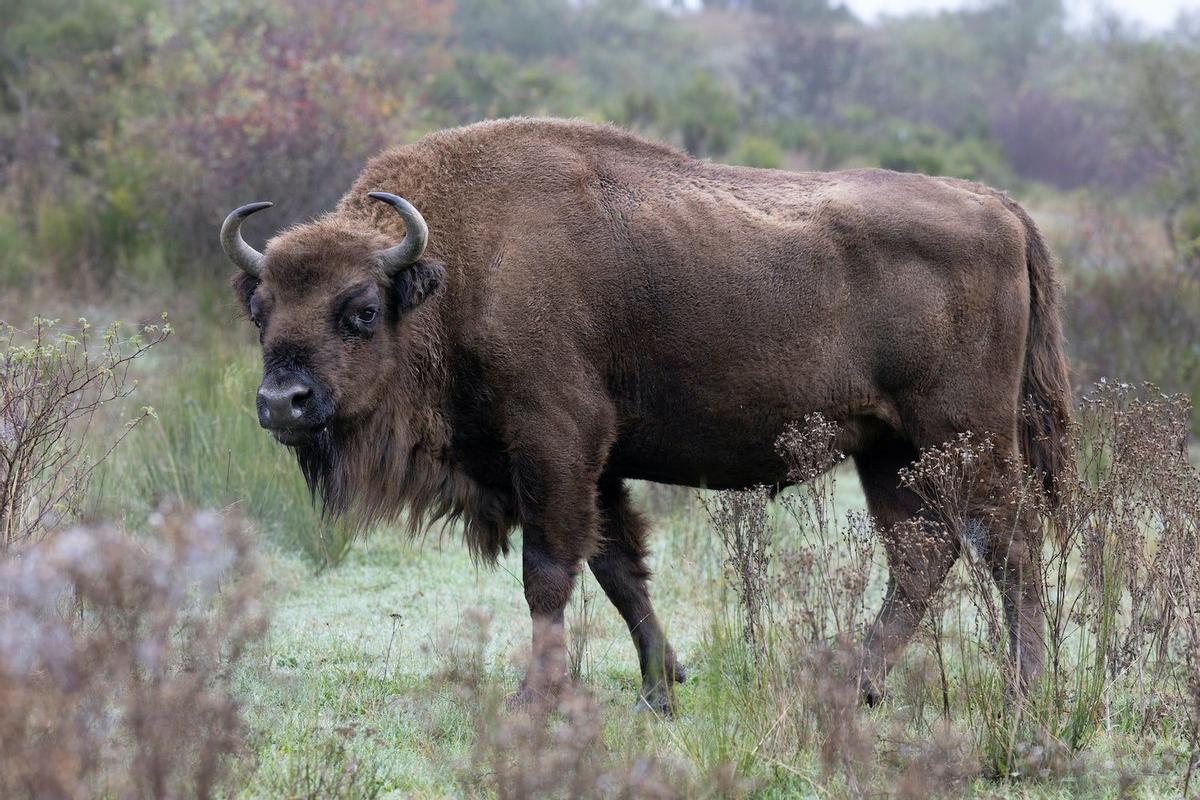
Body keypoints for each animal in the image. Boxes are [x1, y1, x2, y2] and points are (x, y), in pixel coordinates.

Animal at [223, 117, 1070, 714]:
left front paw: (533, 699)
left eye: (361, 311)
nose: (280, 403)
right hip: (889, 450)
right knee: (923, 555)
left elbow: (549, 574)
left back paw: (1023, 695)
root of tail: (997, 206)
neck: (460, 267)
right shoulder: (594, 467)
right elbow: (618, 570)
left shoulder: (554, 442)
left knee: (1009, 543)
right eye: (260, 309)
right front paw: (660, 690)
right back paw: (854, 687)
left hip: (964, 435)